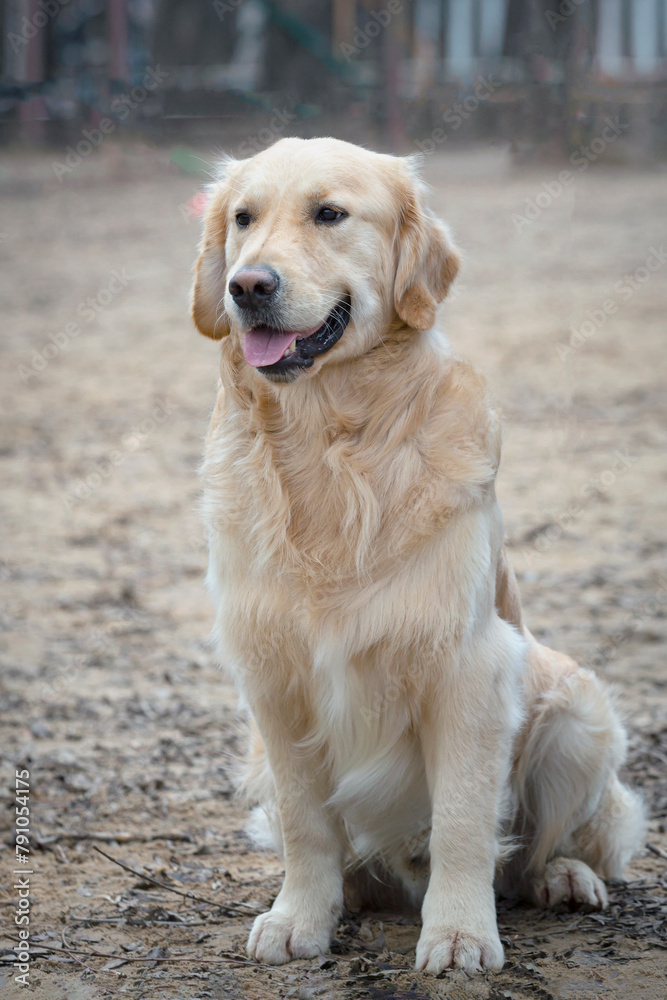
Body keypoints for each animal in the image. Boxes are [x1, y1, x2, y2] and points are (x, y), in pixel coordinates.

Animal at [190, 139, 644, 976]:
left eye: (329, 213)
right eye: (242, 218)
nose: (246, 286)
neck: (332, 446)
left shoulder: (468, 666)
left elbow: (465, 818)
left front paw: (459, 933)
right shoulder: (272, 677)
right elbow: (305, 823)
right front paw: (299, 918)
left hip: (575, 713)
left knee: (532, 854)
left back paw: (562, 876)